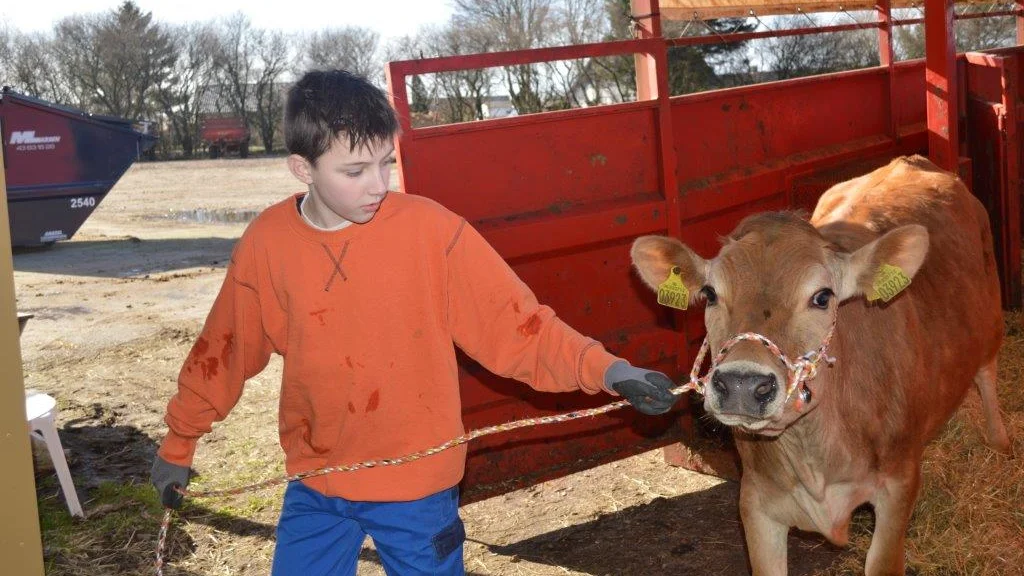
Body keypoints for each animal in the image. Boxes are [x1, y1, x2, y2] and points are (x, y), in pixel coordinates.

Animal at [630, 153, 1007, 573]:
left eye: (823, 297)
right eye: (710, 294)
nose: (743, 384)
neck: (814, 452)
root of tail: (909, 161)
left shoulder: (898, 485)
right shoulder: (756, 502)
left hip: (990, 315)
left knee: (987, 374)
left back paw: (1000, 442)